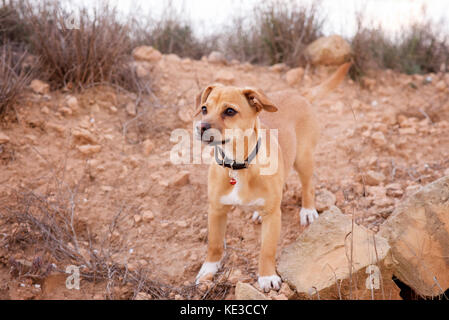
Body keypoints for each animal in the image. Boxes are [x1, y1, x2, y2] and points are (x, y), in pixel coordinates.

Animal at [192, 63, 350, 292]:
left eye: (230, 111)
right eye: (204, 109)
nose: (200, 127)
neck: (238, 165)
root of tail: (299, 94)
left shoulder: (274, 217)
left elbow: (266, 250)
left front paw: (266, 276)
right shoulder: (216, 209)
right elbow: (214, 244)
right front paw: (207, 271)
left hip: (303, 159)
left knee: (308, 185)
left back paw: (308, 210)